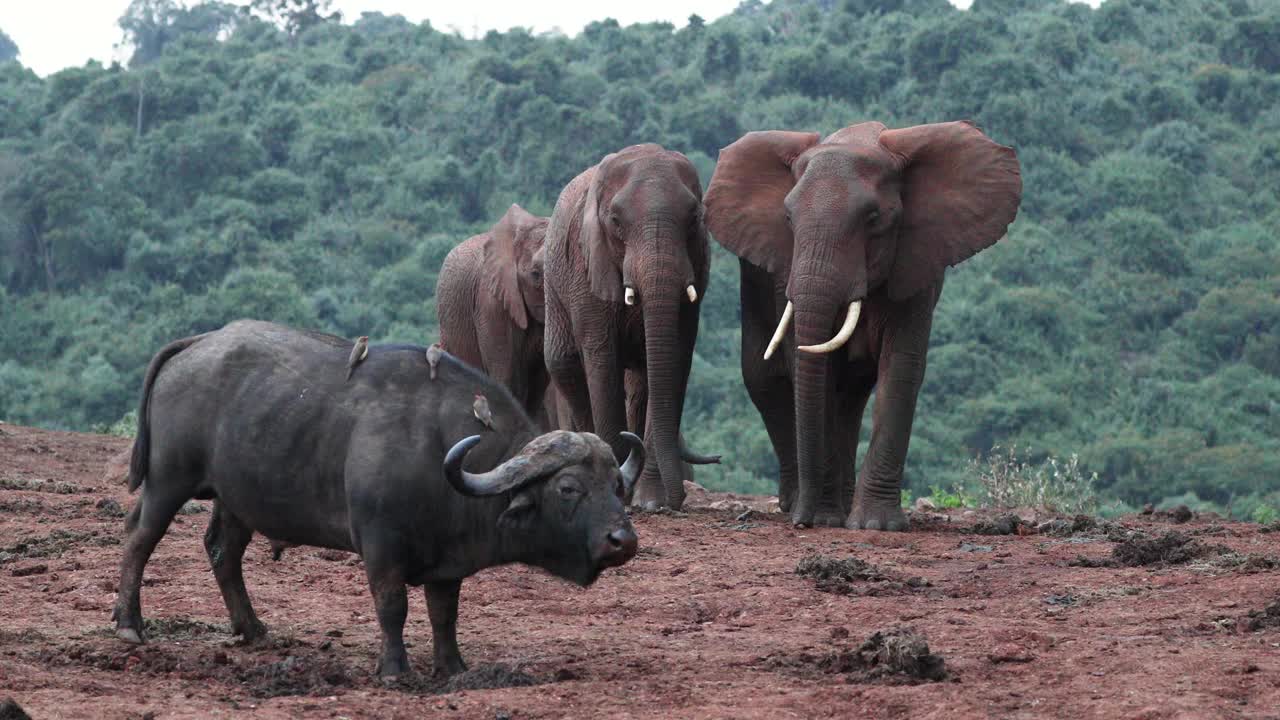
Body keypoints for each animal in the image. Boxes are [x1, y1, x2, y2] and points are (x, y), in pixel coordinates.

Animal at [115, 322, 645, 676]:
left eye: (616, 487)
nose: (623, 541)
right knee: (139, 538)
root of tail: (198, 343)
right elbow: (392, 607)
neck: (438, 447)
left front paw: (452, 667)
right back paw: (129, 624)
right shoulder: (381, 547)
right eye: (568, 488)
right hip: (168, 480)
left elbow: (444, 614)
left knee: (223, 551)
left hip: (236, 498)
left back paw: (252, 629)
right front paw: (394, 669)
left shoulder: (447, 562)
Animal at [542, 141, 721, 509]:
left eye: (694, 218)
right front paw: (618, 494)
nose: (678, 500)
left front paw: (651, 501)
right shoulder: (587, 270)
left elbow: (674, 360)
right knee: (565, 366)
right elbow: (602, 361)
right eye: (615, 222)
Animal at [706, 121, 1024, 527]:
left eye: (873, 219)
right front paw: (826, 520)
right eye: (788, 219)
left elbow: (901, 369)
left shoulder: (918, 264)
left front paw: (876, 524)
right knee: (767, 381)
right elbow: (817, 371)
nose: (801, 523)